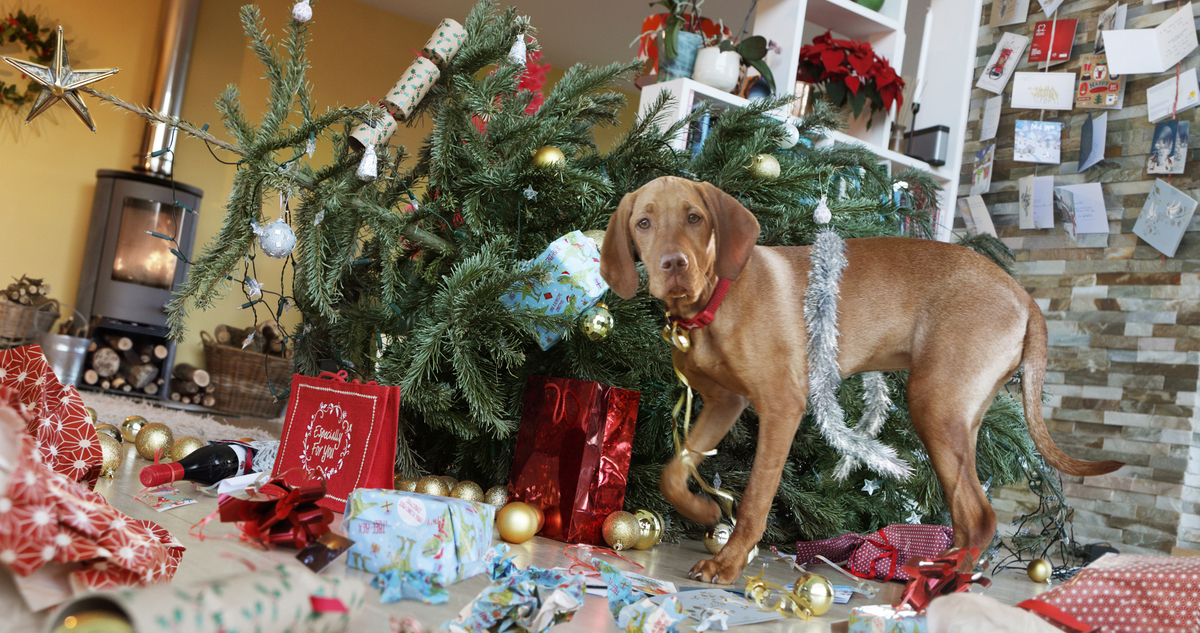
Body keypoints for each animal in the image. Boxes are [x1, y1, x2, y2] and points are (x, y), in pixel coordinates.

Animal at [600, 176, 1123, 582]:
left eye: (695, 218)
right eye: (643, 223)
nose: (674, 265)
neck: (714, 301)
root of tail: (1024, 295)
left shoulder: (782, 406)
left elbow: (755, 500)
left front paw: (727, 564)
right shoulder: (724, 402)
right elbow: (672, 471)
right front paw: (705, 511)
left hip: (933, 405)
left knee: (980, 516)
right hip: (961, 416)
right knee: (965, 513)